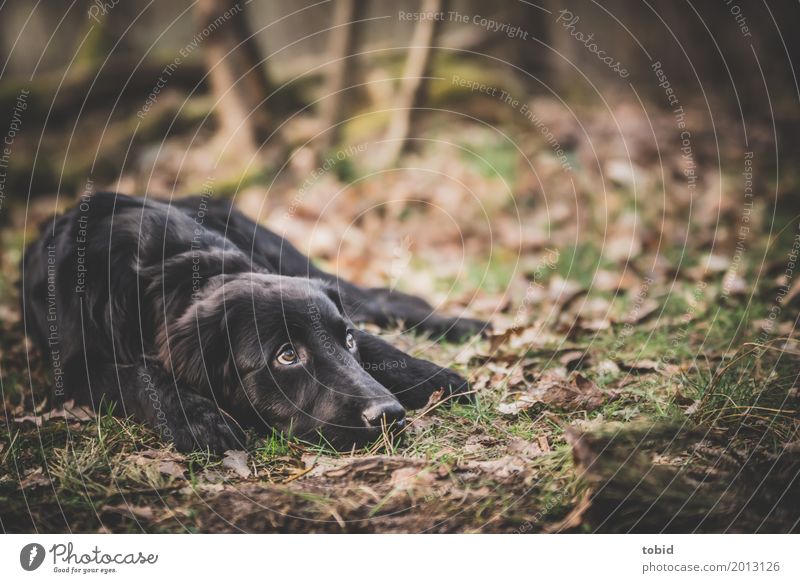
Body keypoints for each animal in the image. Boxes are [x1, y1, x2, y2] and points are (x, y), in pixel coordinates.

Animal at [23, 192, 488, 452]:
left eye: (347, 342)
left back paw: (467, 325)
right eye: (286, 356)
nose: (389, 414)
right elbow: (136, 375)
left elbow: (381, 345)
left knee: (379, 298)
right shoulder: (74, 367)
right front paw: (196, 418)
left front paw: (438, 378)